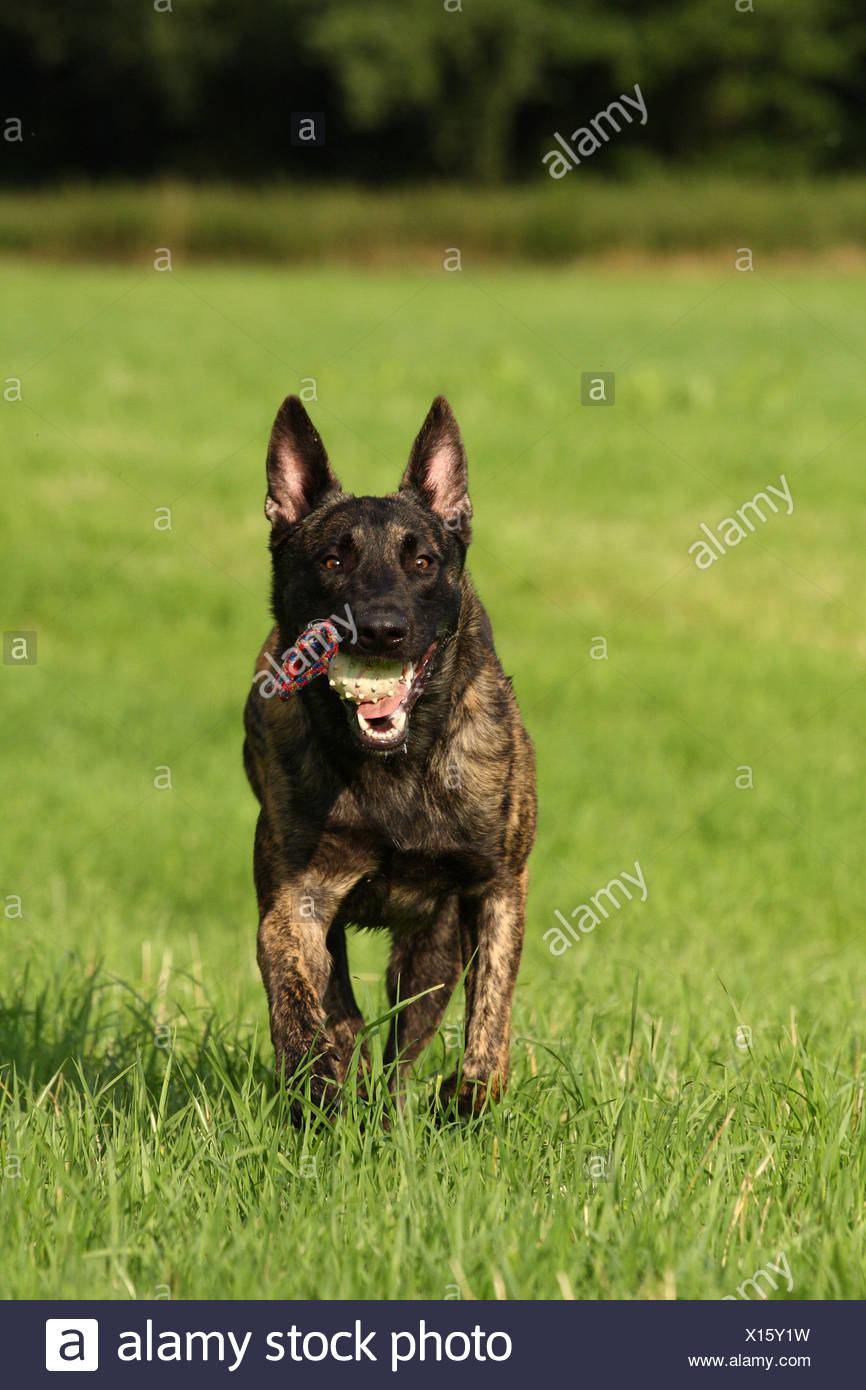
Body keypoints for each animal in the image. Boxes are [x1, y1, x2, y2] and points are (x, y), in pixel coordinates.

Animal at [241, 394, 536, 1117]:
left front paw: (463, 1096)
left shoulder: (497, 889)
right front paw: (318, 1085)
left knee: (405, 1045)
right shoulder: (295, 904)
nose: (380, 629)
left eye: (423, 563)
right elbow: (299, 1005)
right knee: (345, 1011)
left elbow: (489, 1034)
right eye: (331, 562)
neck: (397, 766)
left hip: (431, 949)